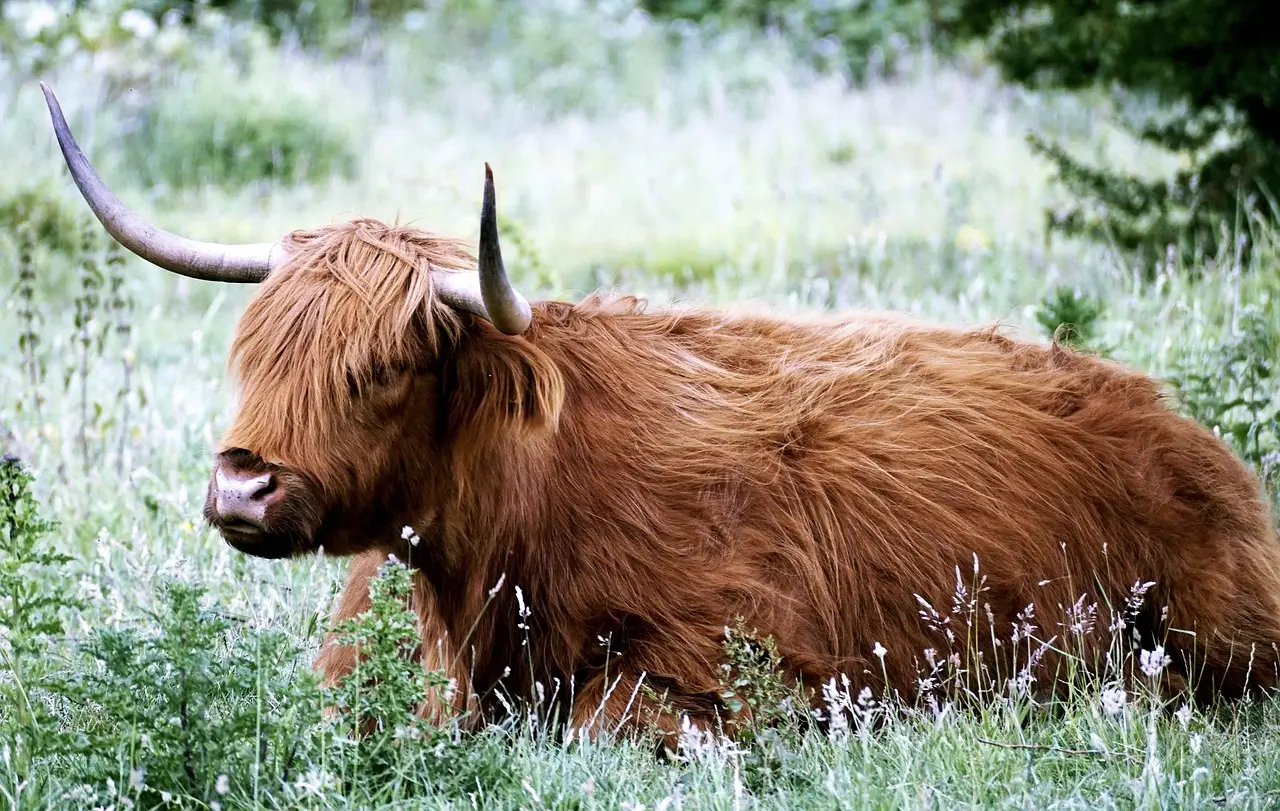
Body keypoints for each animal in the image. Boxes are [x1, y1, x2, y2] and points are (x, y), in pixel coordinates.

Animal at [40, 82, 1280, 748]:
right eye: (252, 349)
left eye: (386, 366)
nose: (242, 484)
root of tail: (1182, 431)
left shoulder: (740, 669)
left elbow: (605, 723)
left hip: (1218, 637)